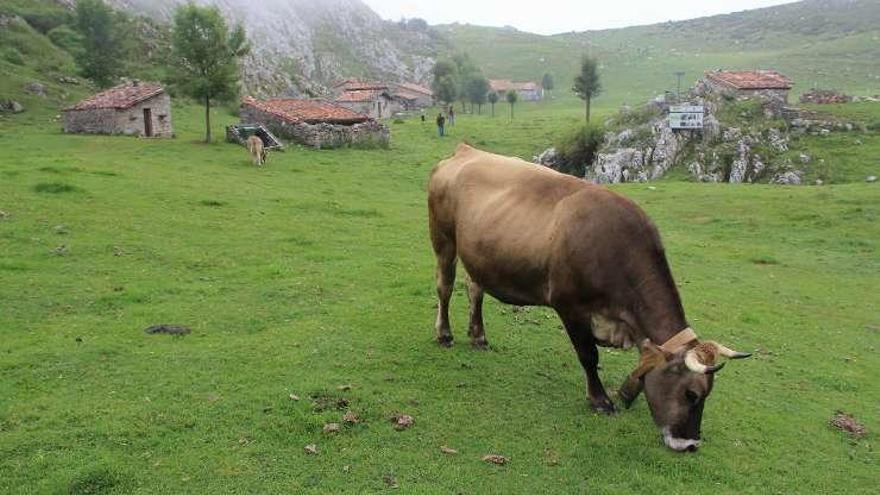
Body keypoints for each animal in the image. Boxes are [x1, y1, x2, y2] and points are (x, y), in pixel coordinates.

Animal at [426, 144, 748, 454]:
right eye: (691, 394)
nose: (690, 444)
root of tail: (465, 150)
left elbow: (645, 362)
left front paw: (627, 391)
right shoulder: (571, 307)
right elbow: (588, 355)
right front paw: (600, 400)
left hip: (478, 255)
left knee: (474, 289)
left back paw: (478, 336)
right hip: (443, 240)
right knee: (445, 286)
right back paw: (444, 334)